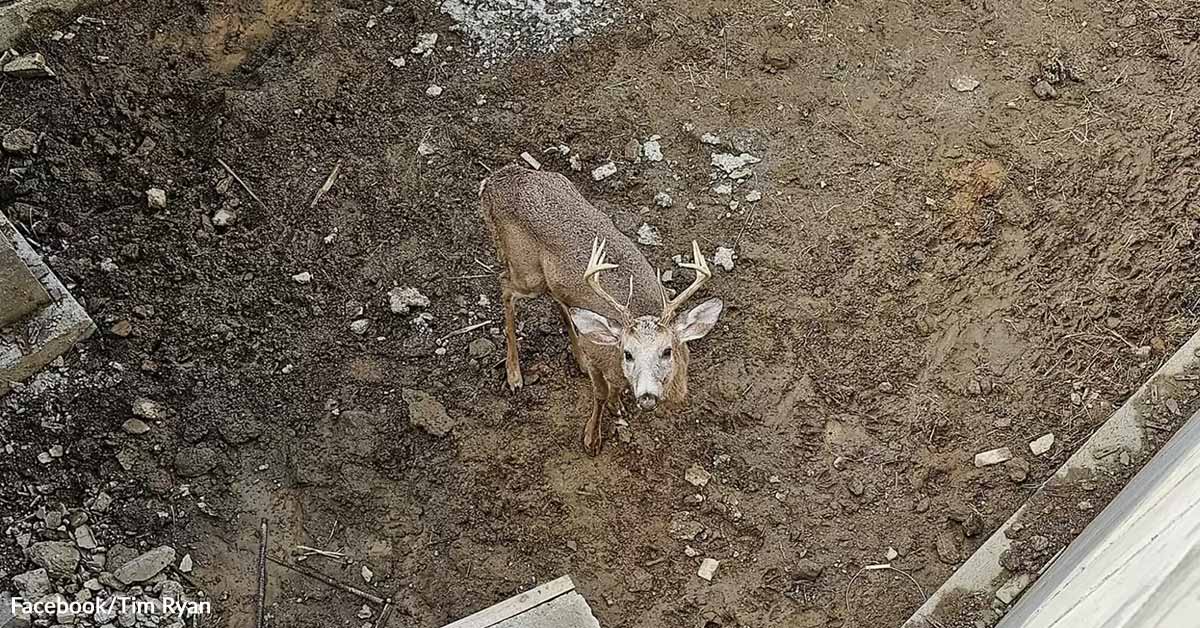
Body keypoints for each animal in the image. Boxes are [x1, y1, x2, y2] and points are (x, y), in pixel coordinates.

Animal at [480, 164, 724, 455]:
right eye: (627, 353)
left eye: (667, 351)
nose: (647, 397)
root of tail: (495, 180)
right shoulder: (599, 354)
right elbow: (600, 393)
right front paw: (592, 437)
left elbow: (612, 390)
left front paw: (617, 406)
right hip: (526, 272)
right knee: (504, 286)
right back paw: (514, 374)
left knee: (558, 299)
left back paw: (577, 357)